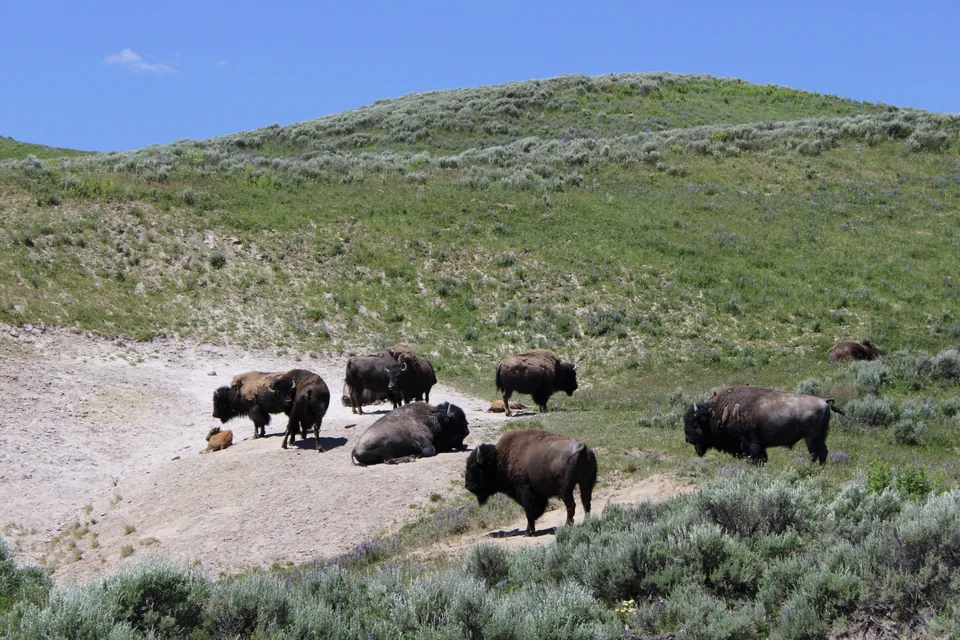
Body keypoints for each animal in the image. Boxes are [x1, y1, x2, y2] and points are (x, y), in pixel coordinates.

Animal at [465, 429, 597, 536]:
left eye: (475, 468)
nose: (467, 485)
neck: (501, 459)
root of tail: (583, 447)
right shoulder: (539, 494)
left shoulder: (524, 490)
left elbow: (528, 510)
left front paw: (528, 532)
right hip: (586, 483)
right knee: (586, 502)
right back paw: (586, 522)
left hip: (565, 489)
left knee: (571, 505)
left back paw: (567, 526)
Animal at [683, 385, 844, 465]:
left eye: (694, 423)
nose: (687, 439)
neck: (718, 411)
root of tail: (824, 401)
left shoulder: (751, 443)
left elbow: (757, 457)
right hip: (819, 437)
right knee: (822, 452)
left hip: (811, 437)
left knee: (815, 453)